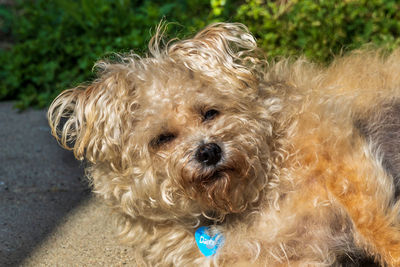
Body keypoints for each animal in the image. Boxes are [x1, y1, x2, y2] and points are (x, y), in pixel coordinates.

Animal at [48, 23, 400, 267]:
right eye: (162, 139)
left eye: (210, 113)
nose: (209, 151)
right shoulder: (292, 258)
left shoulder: (340, 154)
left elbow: (376, 225)